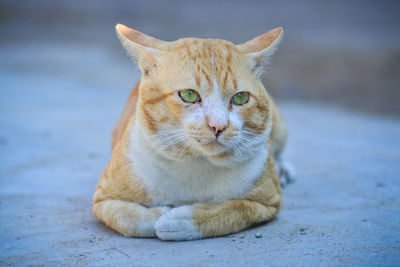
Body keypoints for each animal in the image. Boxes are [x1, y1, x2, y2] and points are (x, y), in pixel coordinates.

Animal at [93, 23, 294, 241]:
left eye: (240, 98)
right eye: (189, 95)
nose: (218, 125)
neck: (197, 160)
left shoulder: (267, 203)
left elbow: (235, 209)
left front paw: (181, 220)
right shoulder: (102, 198)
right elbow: (126, 218)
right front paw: (156, 216)